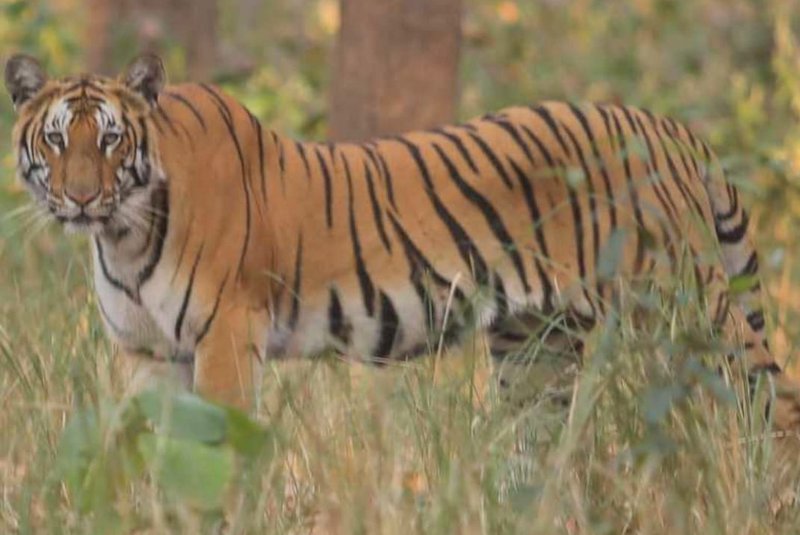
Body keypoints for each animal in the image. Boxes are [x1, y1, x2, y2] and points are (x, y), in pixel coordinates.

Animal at [6, 51, 800, 432]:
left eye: (111, 140)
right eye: (58, 139)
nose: (81, 196)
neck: (122, 235)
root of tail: (670, 129)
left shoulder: (226, 337)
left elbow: (223, 441)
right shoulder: (148, 355)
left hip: (692, 311)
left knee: (774, 402)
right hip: (535, 346)